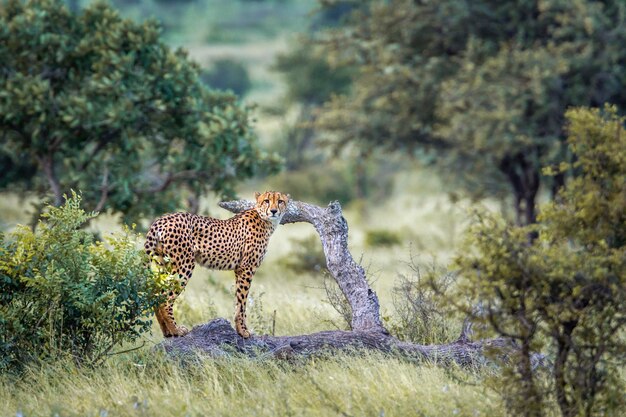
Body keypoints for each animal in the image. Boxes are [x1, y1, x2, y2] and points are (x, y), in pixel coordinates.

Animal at [145, 190, 288, 336]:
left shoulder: (239, 269)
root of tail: (162, 219)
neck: (265, 220)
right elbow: (242, 302)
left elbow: (238, 300)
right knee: (166, 299)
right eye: (266, 201)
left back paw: (167, 332)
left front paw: (239, 329)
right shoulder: (246, 267)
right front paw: (243, 331)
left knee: (157, 296)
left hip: (163, 264)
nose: (274, 211)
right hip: (184, 265)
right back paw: (177, 330)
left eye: (280, 201)